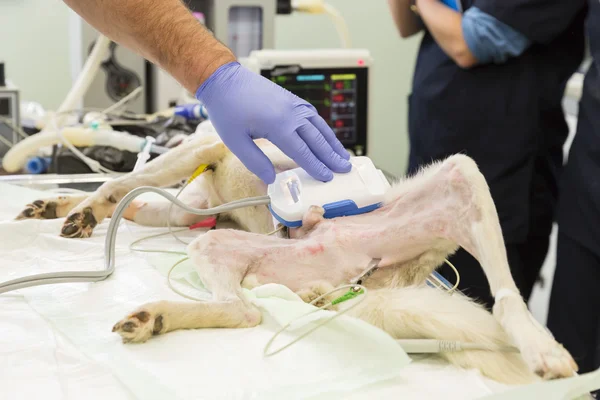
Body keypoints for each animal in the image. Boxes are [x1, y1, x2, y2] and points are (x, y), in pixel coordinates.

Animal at [14, 127, 576, 384]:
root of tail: (359, 282)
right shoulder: (186, 206)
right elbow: (134, 200)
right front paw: (63, 206)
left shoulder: (198, 153)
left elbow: (122, 183)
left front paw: (85, 207)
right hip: (228, 242)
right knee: (239, 303)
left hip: (454, 181)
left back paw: (542, 347)